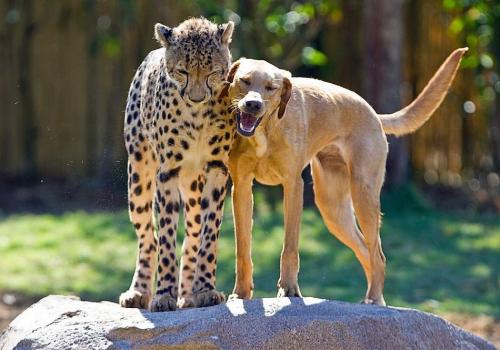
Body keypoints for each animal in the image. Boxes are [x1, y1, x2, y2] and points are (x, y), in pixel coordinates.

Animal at [118, 17, 234, 310]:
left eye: (213, 72)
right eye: (182, 71)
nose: (196, 97)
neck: (197, 115)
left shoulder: (217, 168)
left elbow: (208, 233)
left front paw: (205, 289)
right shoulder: (167, 171)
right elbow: (166, 236)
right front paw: (163, 294)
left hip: (193, 185)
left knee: (192, 234)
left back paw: (188, 295)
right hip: (138, 177)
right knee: (148, 237)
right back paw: (139, 291)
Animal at [225, 47, 466, 304]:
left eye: (271, 87)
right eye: (245, 81)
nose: (252, 105)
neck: (265, 132)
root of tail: (373, 113)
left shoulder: (293, 186)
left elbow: (289, 247)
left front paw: (289, 289)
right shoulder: (241, 188)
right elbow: (242, 250)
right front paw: (241, 293)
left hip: (363, 195)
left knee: (377, 255)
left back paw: (373, 298)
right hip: (333, 210)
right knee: (365, 251)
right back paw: (375, 300)